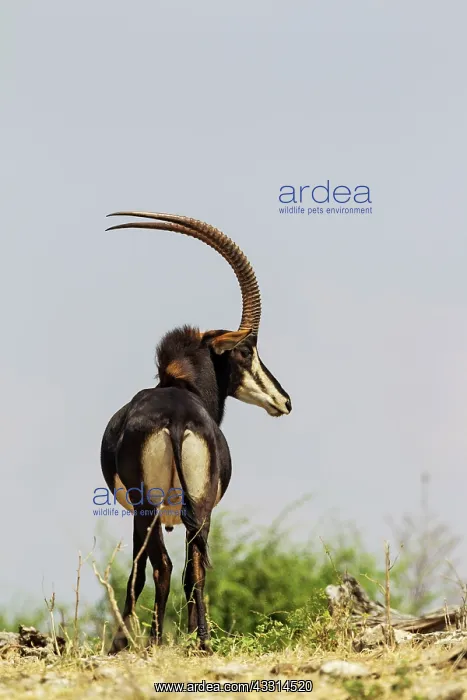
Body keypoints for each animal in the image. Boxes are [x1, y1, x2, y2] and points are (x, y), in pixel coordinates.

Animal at [100, 212, 292, 654]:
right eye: (246, 350)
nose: (284, 400)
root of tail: (174, 419)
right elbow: (190, 568)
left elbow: (142, 571)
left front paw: (124, 642)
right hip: (197, 507)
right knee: (191, 567)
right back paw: (201, 639)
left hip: (149, 507)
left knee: (162, 566)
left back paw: (153, 639)